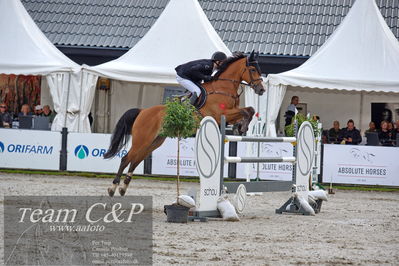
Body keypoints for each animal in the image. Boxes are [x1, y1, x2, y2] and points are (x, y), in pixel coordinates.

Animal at [104, 51, 266, 196]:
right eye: (253, 70)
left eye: (260, 70)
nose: (261, 90)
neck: (223, 88)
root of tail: (142, 111)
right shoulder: (221, 114)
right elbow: (246, 111)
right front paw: (242, 127)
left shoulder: (230, 114)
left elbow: (249, 110)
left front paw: (241, 127)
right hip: (142, 139)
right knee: (126, 159)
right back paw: (113, 188)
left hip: (155, 141)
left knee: (136, 160)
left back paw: (123, 188)